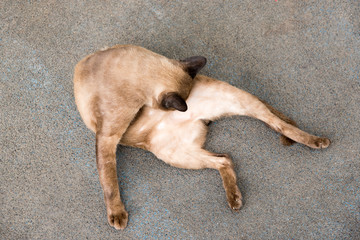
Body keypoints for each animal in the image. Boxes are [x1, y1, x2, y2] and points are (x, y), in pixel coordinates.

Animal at [74, 45, 332, 231]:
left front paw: (117, 216)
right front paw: (117, 215)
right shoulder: (108, 137)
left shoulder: (108, 137)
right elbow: (109, 180)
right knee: (225, 158)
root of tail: (200, 119)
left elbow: (109, 181)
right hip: (177, 155)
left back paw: (318, 142)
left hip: (239, 105)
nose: (183, 109)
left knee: (279, 124)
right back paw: (235, 199)